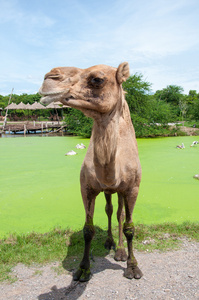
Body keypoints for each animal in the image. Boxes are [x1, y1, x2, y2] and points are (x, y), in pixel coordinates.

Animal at [38, 62, 142, 282]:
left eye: (97, 79)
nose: (50, 76)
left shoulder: (132, 188)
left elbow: (129, 227)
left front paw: (133, 267)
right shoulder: (86, 187)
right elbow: (88, 229)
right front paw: (83, 269)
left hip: (121, 191)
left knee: (119, 213)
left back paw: (120, 251)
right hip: (108, 191)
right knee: (110, 210)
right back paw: (109, 242)